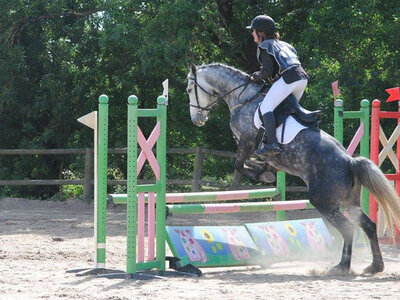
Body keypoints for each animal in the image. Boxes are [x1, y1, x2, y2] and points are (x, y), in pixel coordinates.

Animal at [188, 62, 400, 274]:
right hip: (348, 202)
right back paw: (375, 266)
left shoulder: (246, 141)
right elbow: (258, 164)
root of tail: (349, 161)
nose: (197, 120)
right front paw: (264, 171)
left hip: (324, 202)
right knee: (368, 225)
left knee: (348, 228)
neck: (243, 98)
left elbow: (239, 164)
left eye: (190, 89)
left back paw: (341, 266)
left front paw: (262, 175)